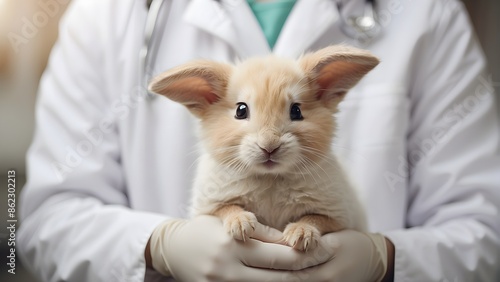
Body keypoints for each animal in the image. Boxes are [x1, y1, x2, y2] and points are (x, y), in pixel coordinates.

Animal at [148, 44, 378, 251]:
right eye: (241, 110)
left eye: (296, 111)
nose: (269, 146)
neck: (270, 178)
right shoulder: (209, 208)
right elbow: (228, 209)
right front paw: (241, 225)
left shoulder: (339, 217)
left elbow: (315, 219)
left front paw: (300, 235)